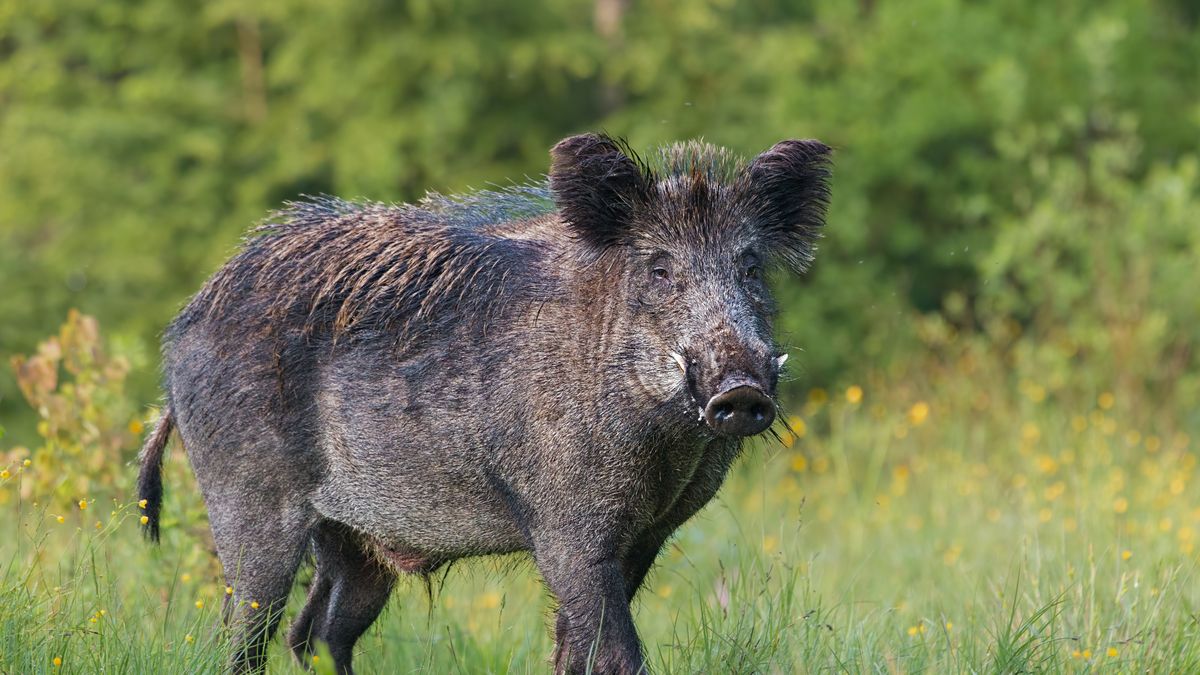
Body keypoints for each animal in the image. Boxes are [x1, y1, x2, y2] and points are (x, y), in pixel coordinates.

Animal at [137, 133, 831, 674]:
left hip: (352, 541)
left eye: (749, 268)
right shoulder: (565, 527)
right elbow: (614, 652)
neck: (663, 445)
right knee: (242, 638)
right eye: (660, 270)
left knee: (317, 635)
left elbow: (573, 651)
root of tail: (181, 331)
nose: (741, 391)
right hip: (247, 505)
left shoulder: (647, 537)